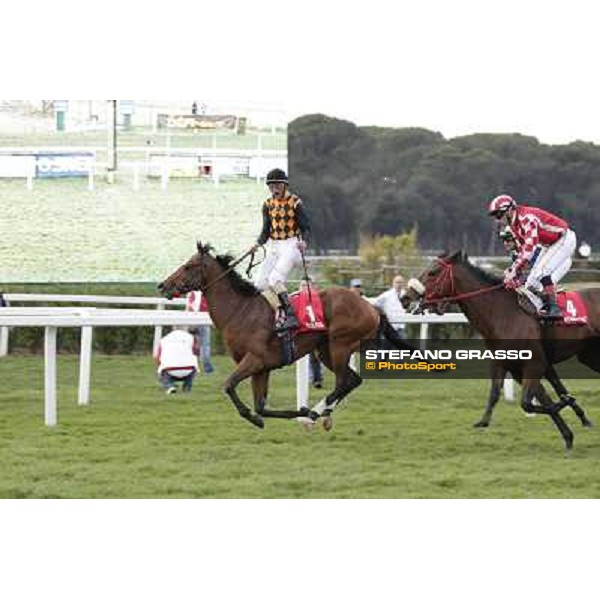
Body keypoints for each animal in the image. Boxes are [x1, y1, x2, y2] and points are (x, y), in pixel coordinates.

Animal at [157, 244, 410, 432]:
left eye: (188, 266)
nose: (162, 285)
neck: (240, 311)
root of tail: (371, 307)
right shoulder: (262, 367)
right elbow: (261, 406)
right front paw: (291, 413)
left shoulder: (255, 360)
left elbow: (229, 385)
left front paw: (264, 417)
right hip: (325, 349)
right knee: (353, 380)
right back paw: (321, 414)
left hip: (340, 345)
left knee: (343, 382)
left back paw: (316, 413)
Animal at [412, 248, 600, 450]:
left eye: (433, 272)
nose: (409, 294)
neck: (502, 313)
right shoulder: (509, 365)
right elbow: (505, 395)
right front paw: (568, 435)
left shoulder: (534, 364)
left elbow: (529, 403)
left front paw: (568, 406)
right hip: (589, 355)